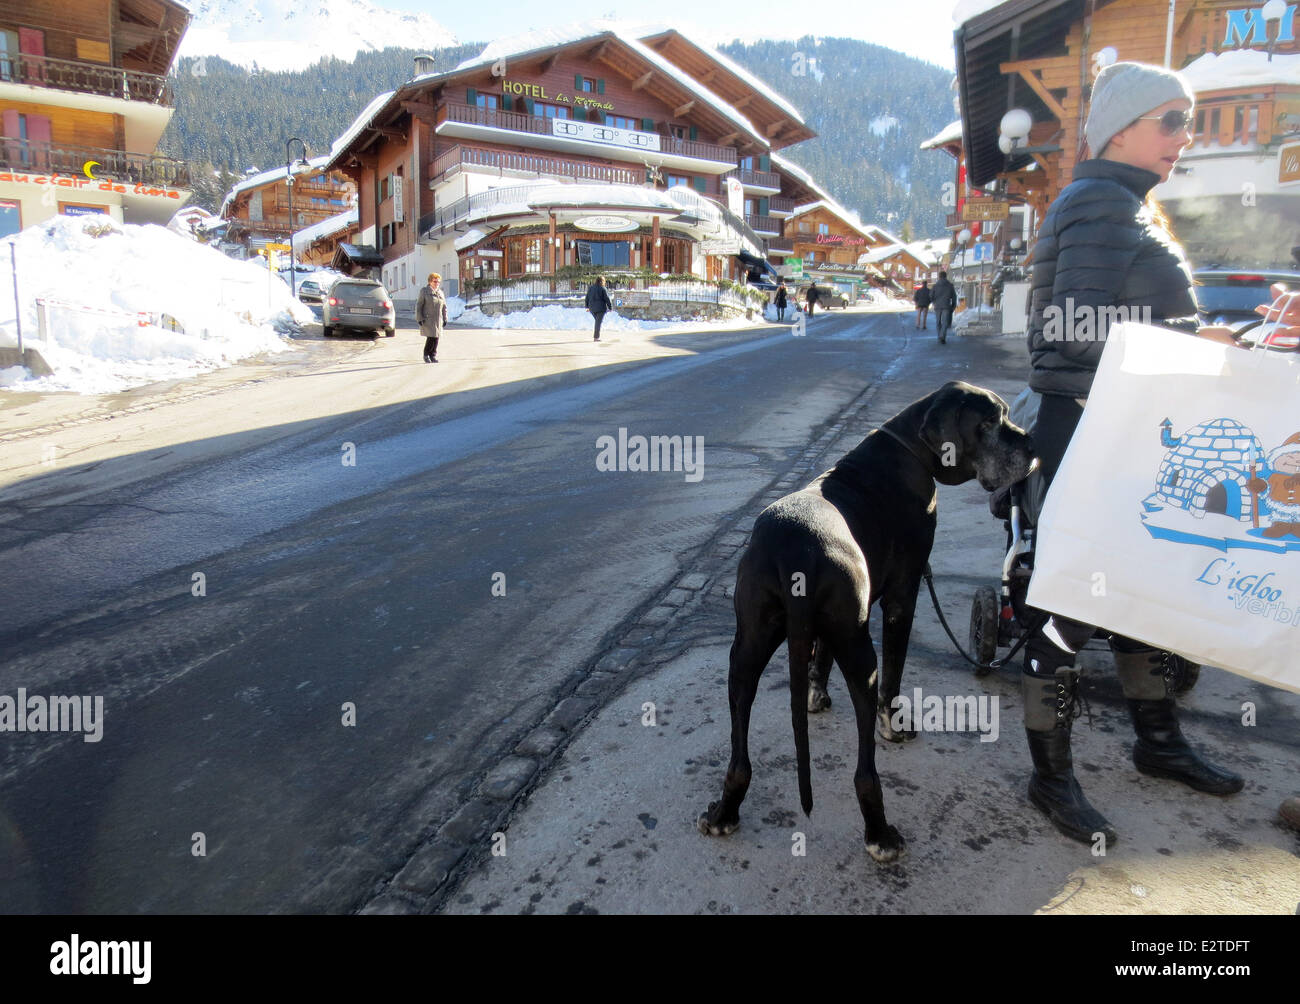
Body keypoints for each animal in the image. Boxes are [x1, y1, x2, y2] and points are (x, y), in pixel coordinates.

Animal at [702, 379, 1034, 858]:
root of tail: (795, 552)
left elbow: (819, 659)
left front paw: (816, 695)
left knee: (739, 750)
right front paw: (893, 724)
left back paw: (724, 812)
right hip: (861, 655)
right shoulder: (901, 596)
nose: (1033, 446)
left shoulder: (827, 627)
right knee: (865, 767)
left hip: (745, 648)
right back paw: (880, 833)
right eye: (990, 421)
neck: (910, 446)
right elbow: (895, 672)